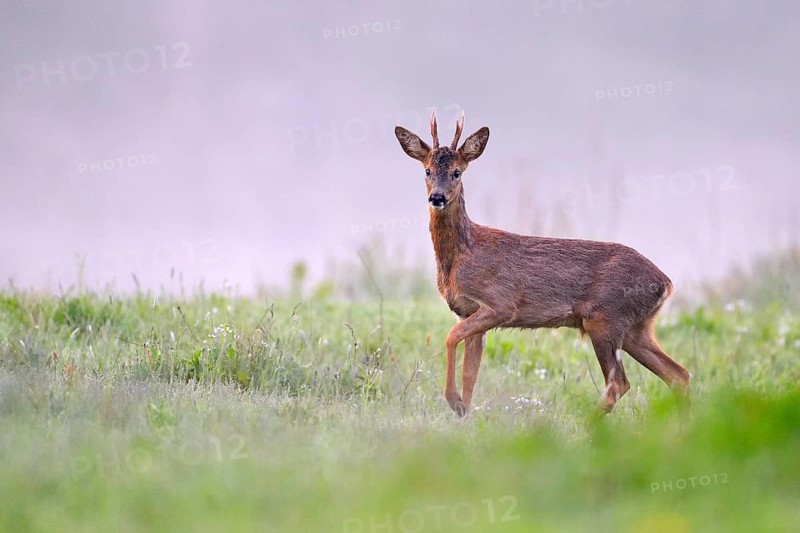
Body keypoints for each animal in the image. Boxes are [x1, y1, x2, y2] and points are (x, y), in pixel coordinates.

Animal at [394, 110, 691, 417]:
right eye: (427, 170)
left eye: (457, 172)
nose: (437, 197)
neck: (462, 255)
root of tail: (666, 283)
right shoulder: (468, 312)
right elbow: (470, 375)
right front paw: (464, 411)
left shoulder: (500, 305)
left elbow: (451, 337)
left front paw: (454, 402)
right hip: (636, 328)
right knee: (678, 374)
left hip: (604, 319)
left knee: (620, 382)